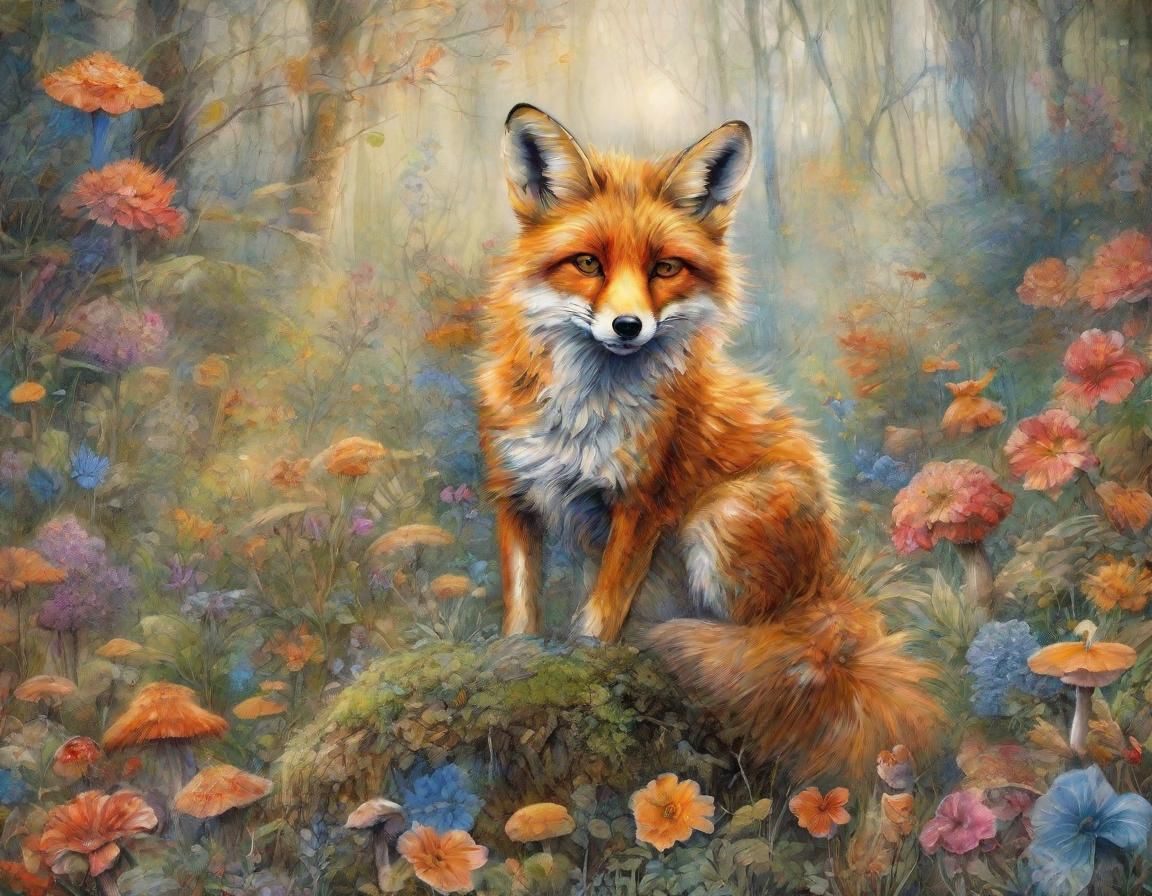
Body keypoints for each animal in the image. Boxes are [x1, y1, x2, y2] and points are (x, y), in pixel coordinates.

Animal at [476, 104, 940, 779]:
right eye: (588, 263)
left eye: (664, 268)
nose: (627, 326)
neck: (584, 414)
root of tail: (834, 590)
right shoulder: (513, 492)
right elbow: (519, 602)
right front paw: (514, 658)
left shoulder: (643, 502)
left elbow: (602, 611)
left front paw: (587, 660)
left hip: (720, 520)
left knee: (765, 645)